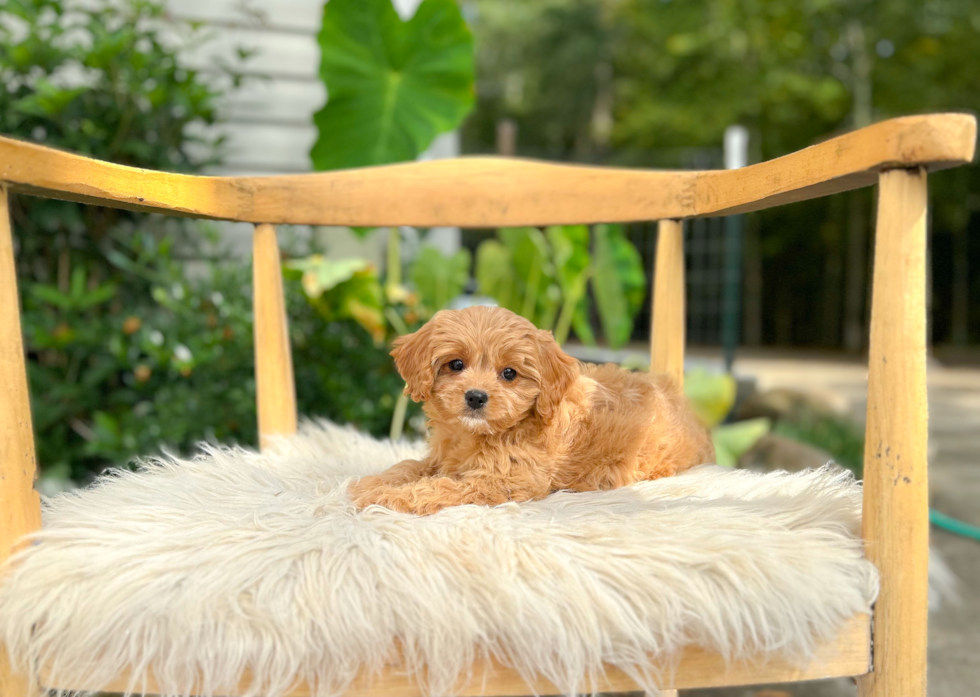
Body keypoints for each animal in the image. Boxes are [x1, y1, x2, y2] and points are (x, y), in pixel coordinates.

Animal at [350, 308, 712, 512]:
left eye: (509, 373)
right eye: (456, 364)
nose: (476, 397)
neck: (478, 435)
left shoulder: (502, 481)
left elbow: (443, 487)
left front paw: (385, 498)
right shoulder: (441, 459)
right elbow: (411, 466)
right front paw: (376, 483)